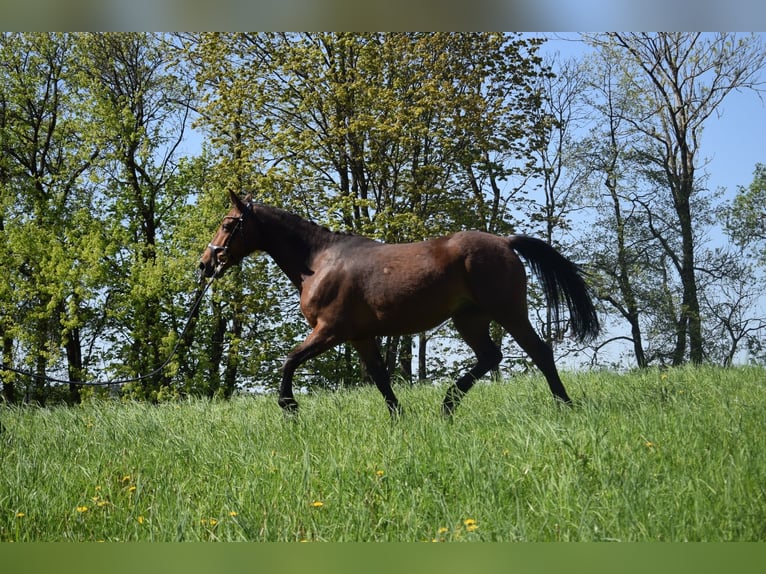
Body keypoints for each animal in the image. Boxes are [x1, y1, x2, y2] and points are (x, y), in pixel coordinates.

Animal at [201, 194, 604, 418]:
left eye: (228, 224)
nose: (205, 264)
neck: (319, 261)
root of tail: (505, 242)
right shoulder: (360, 337)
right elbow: (380, 379)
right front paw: (399, 418)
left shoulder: (329, 331)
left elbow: (290, 359)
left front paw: (289, 406)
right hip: (469, 319)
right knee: (491, 357)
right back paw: (447, 405)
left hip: (508, 311)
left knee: (540, 351)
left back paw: (564, 405)